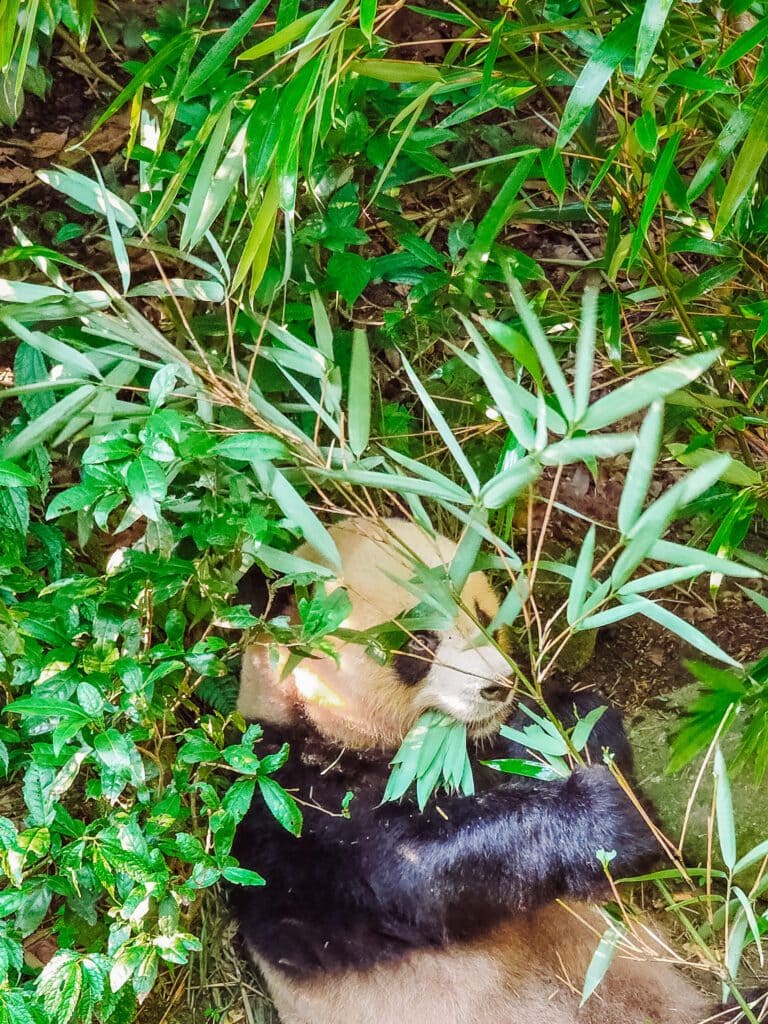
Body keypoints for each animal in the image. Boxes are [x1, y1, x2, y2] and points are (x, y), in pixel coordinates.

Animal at [229, 516, 740, 1024]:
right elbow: (424, 871)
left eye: (481, 612)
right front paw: (605, 817)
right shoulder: (293, 808)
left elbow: (557, 730)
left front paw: (570, 731)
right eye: (419, 642)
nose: (500, 684)